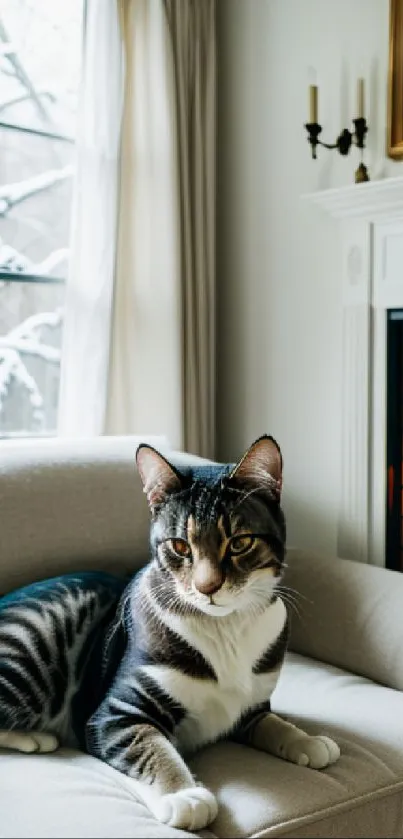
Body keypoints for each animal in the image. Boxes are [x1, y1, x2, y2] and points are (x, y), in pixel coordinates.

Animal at [0, 436, 340, 832]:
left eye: (239, 543)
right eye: (179, 546)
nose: (207, 587)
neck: (225, 628)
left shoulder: (252, 704)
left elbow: (272, 723)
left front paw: (308, 741)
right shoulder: (115, 713)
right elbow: (151, 746)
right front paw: (184, 795)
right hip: (38, 638)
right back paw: (33, 737)